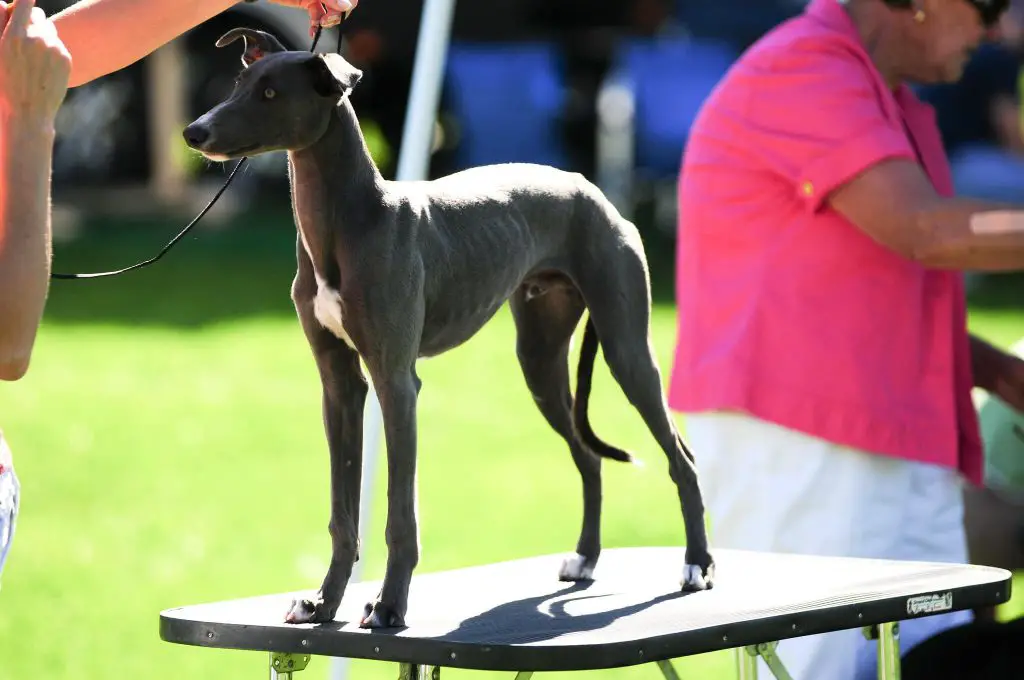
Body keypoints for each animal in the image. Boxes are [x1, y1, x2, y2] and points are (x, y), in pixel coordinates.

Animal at [182, 29, 712, 630]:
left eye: (271, 92)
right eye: (239, 81)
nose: (194, 132)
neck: (349, 222)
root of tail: (594, 192)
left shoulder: (396, 383)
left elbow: (399, 515)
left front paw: (388, 605)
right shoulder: (340, 386)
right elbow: (343, 512)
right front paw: (324, 601)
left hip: (627, 349)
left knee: (681, 458)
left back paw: (696, 565)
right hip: (540, 361)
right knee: (588, 457)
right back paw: (585, 558)